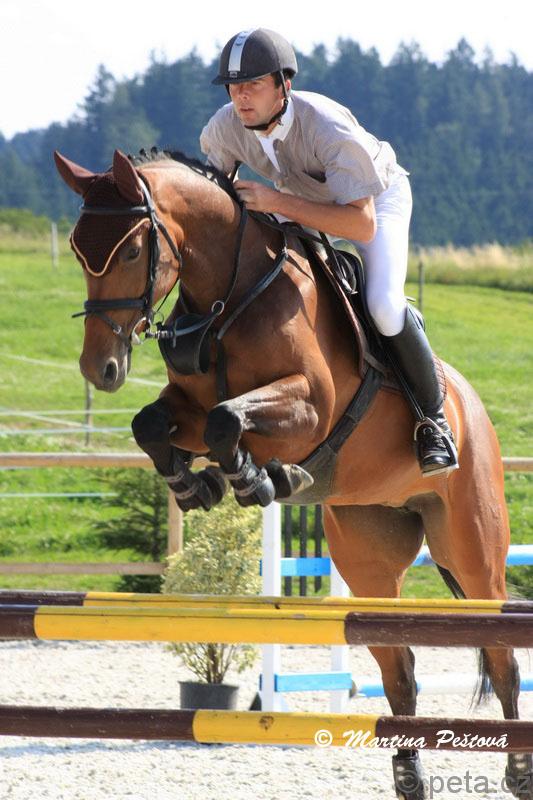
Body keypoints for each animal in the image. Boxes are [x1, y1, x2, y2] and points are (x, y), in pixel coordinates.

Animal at [54, 147, 531, 800]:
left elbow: (230, 419)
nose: (98, 368)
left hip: (472, 551)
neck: (230, 297)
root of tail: (469, 403)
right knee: (400, 670)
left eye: (130, 251)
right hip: (367, 555)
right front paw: (200, 484)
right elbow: (155, 424)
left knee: (502, 656)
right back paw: (409, 776)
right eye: (78, 250)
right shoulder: (189, 410)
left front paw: (259, 479)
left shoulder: (309, 407)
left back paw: (517, 770)